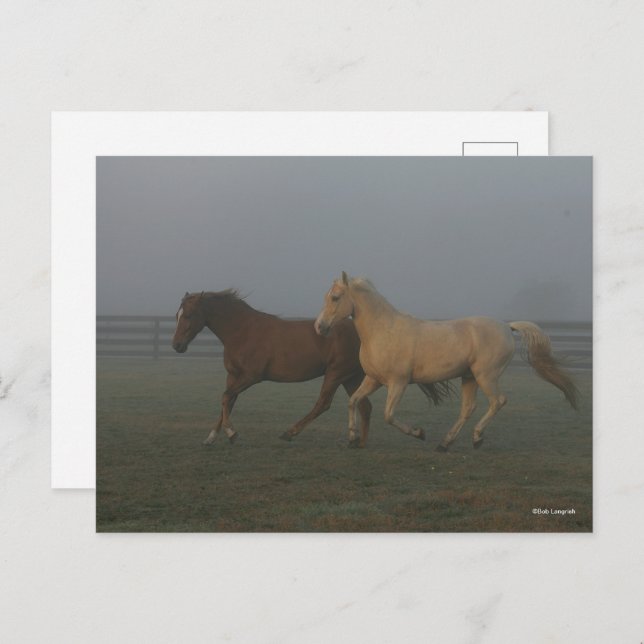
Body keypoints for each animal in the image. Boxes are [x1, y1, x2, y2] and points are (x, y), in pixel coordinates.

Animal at [172, 290, 450, 446]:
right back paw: (360, 442)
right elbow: (227, 401)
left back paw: (290, 432)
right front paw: (211, 437)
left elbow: (225, 398)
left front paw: (231, 433)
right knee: (364, 406)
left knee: (323, 404)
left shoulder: (251, 376)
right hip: (351, 377)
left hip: (336, 373)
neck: (243, 331)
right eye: (177, 315)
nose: (176, 346)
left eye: (188, 316)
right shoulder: (234, 376)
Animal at [314, 272, 579, 451]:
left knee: (497, 401)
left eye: (336, 297)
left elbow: (388, 415)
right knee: (468, 408)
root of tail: (506, 326)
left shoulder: (398, 382)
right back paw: (445, 443)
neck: (383, 331)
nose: (319, 327)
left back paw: (476, 438)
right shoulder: (373, 379)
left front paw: (419, 432)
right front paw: (352, 438)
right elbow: (353, 401)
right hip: (469, 377)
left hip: (486, 376)